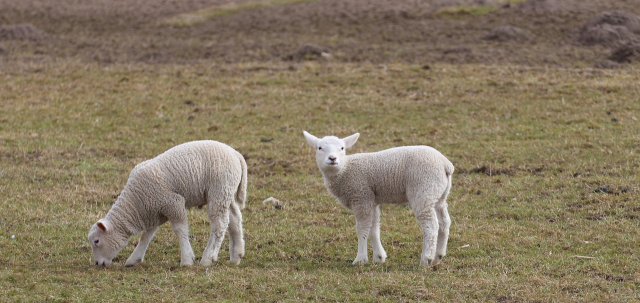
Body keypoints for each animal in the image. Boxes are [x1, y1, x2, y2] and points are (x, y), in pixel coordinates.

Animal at [89, 141, 249, 268]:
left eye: (97, 241)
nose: (97, 263)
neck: (135, 202)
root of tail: (236, 154)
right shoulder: (153, 211)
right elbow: (146, 236)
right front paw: (134, 259)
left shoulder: (173, 203)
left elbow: (180, 230)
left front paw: (187, 260)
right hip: (226, 193)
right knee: (235, 219)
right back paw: (236, 256)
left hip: (219, 190)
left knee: (219, 225)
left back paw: (208, 258)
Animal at [304, 132, 456, 268]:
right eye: (319, 148)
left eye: (342, 148)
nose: (332, 158)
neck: (344, 170)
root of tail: (446, 165)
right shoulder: (371, 200)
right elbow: (374, 228)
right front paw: (379, 257)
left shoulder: (361, 198)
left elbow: (362, 229)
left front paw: (360, 259)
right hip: (438, 194)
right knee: (444, 222)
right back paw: (438, 257)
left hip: (424, 190)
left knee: (431, 225)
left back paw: (426, 259)